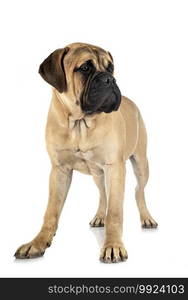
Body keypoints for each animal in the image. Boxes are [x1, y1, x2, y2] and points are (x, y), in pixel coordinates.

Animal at [15, 41, 158, 262]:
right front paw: (37, 243)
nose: (110, 79)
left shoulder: (115, 168)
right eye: (84, 68)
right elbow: (51, 211)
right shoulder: (59, 170)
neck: (79, 124)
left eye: (110, 68)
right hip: (98, 174)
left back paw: (147, 218)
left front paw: (113, 246)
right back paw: (100, 216)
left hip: (141, 163)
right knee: (103, 193)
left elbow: (115, 212)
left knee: (138, 191)